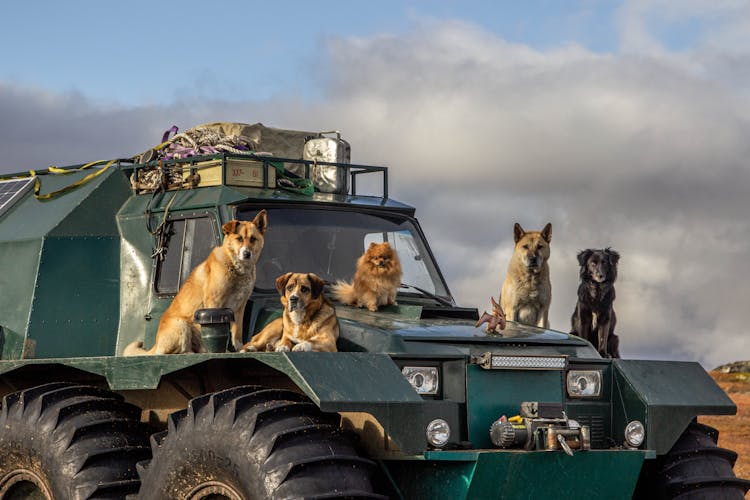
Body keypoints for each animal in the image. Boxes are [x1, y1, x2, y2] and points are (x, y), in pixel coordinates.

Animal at [122, 211, 266, 356]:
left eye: (253, 239)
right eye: (239, 238)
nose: (247, 253)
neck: (235, 267)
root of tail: (156, 344)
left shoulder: (240, 307)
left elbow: (237, 333)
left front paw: (240, 348)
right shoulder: (214, 303)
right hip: (181, 324)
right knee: (172, 353)